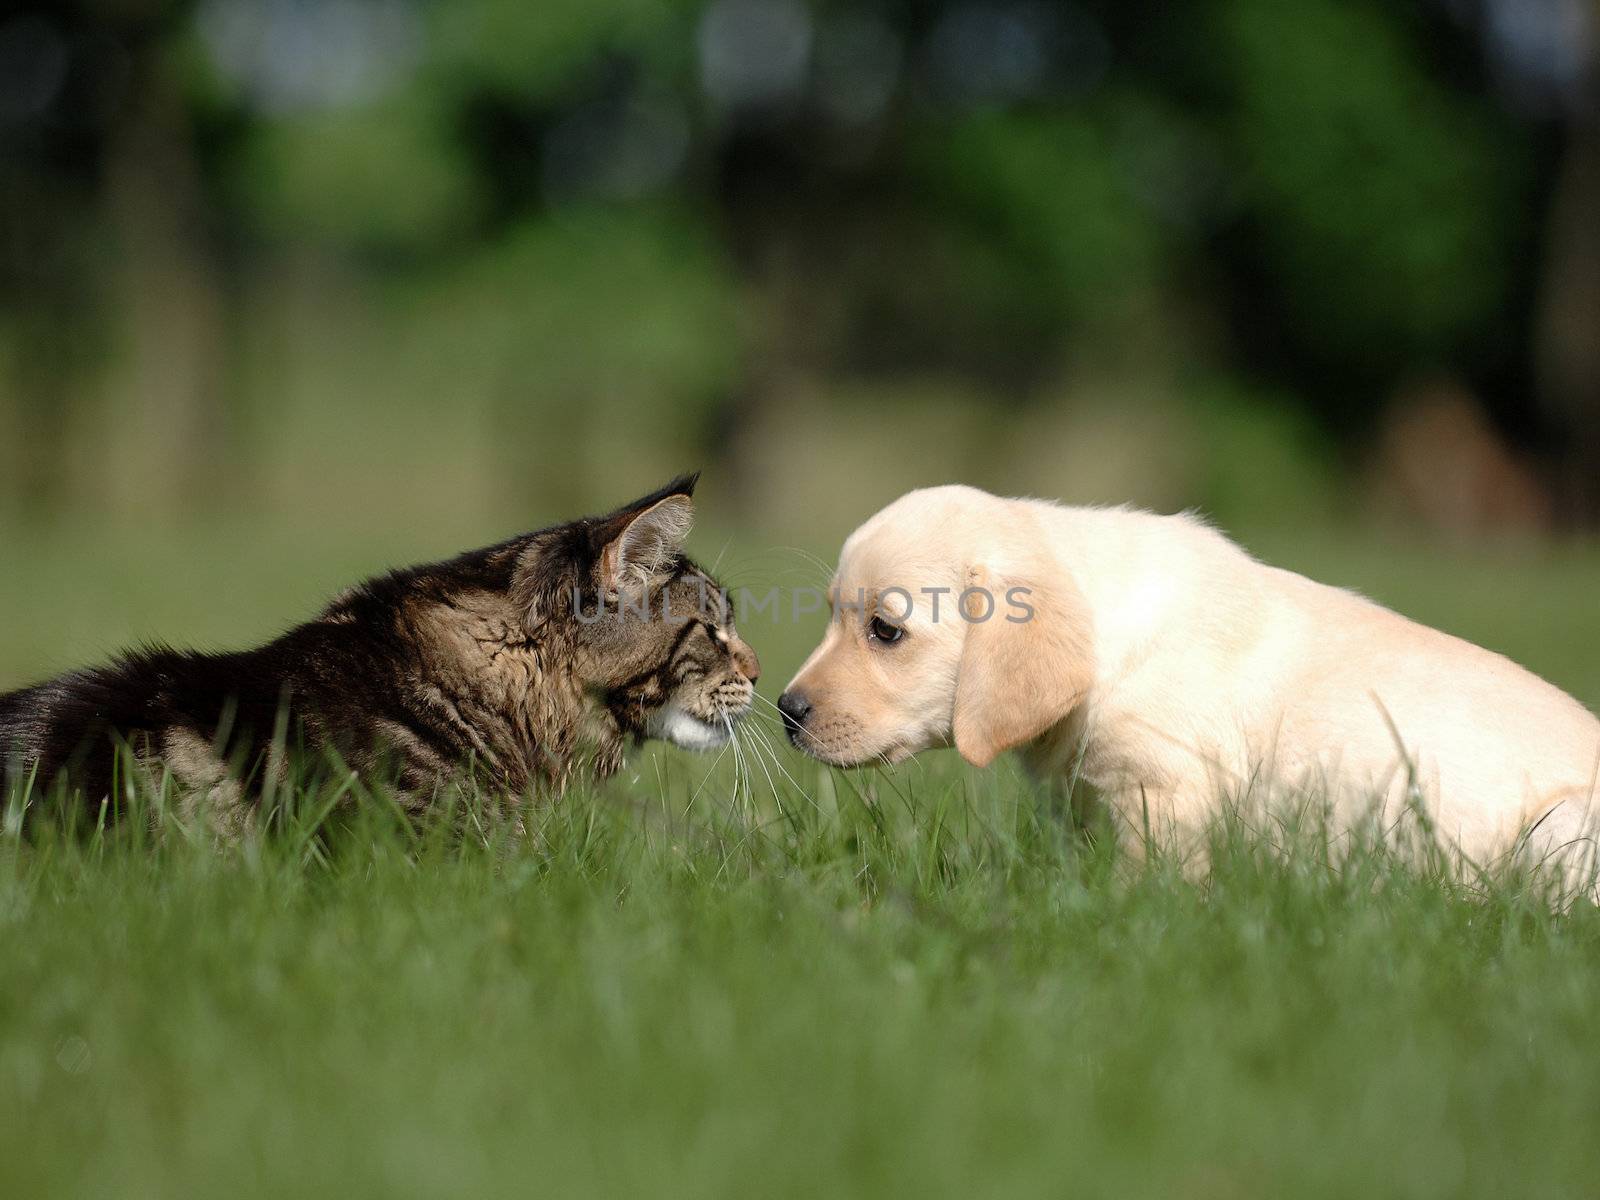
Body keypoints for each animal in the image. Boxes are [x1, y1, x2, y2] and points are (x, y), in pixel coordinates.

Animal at [777, 483, 1600, 889]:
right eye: (831, 615)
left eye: (885, 631)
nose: (785, 710)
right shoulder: (1080, 800)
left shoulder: (1163, 793)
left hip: (1559, 833)